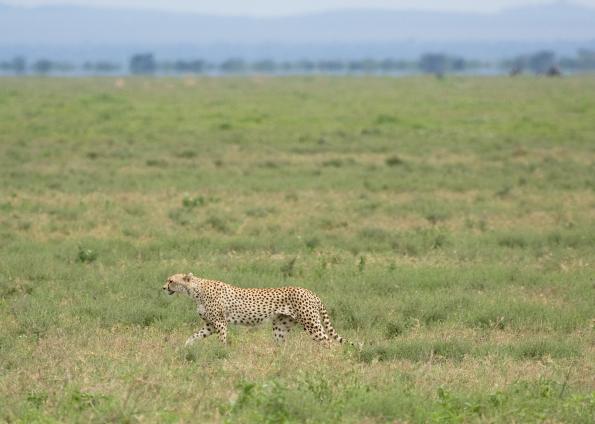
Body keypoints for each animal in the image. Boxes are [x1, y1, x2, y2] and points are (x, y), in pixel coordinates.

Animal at [163, 274, 350, 346]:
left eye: (171, 280)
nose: (163, 287)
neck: (194, 290)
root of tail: (310, 291)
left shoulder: (220, 323)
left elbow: (222, 340)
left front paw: (220, 353)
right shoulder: (210, 324)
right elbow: (194, 336)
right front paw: (186, 347)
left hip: (311, 323)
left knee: (327, 341)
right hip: (280, 326)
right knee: (281, 344)